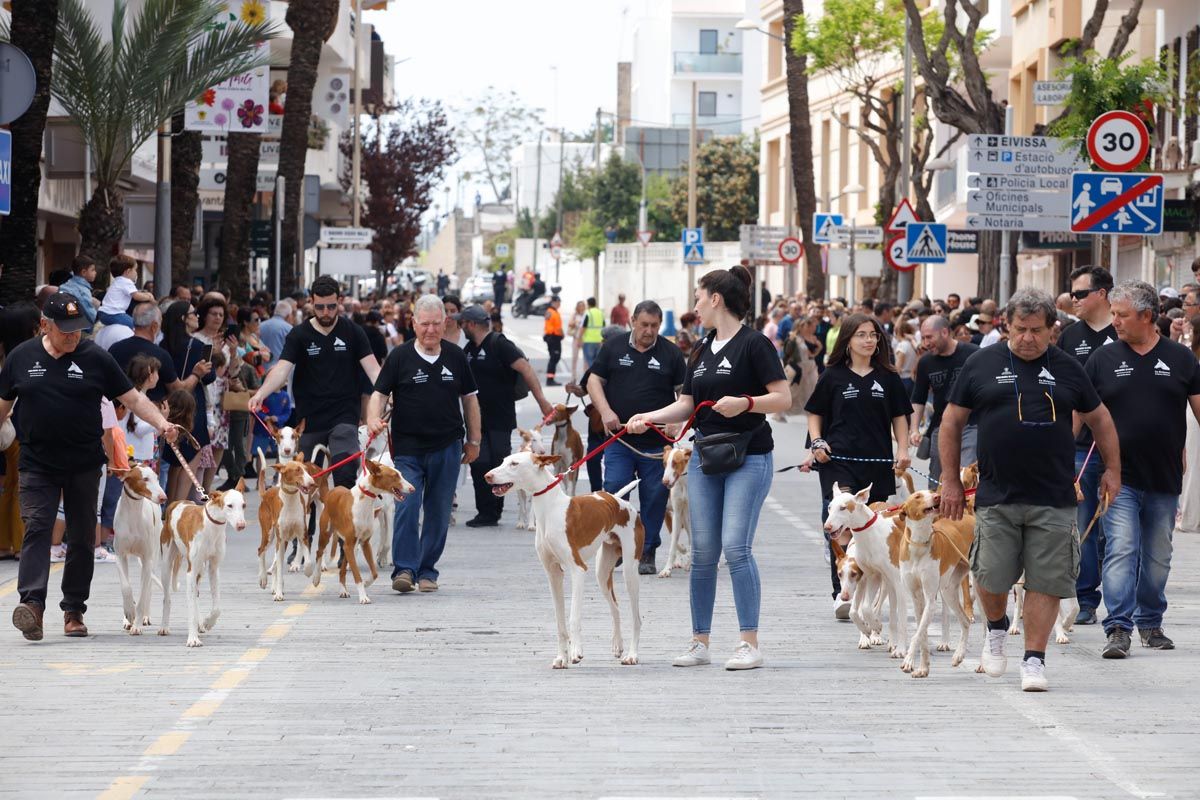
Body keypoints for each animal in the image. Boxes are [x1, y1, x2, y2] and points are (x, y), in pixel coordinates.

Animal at [110, 465, 168, 633]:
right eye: (145, 479)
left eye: (157, 478)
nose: (163, 497)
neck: (134, 514)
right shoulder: (120, 556)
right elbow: (126, 587)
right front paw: (129, 612)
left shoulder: (147, 559)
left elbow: (142, 595)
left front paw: (137, 625)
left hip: (154, 555)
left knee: (148, 589)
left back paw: (145, 617)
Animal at [159, 484, 248, 647]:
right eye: (229, 505)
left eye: (243, 505)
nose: (241, 525)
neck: (212, 528)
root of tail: (177, 502)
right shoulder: (190, 571)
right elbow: (191, 609)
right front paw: (193, 638)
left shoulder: (214, 568)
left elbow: (217, 608)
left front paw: (207, 622)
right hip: (166, 564)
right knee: (167, 598)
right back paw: (164, 626)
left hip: (200, 569)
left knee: (196, 596)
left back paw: (200, 623)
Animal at [309, 460, 412, 604]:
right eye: (395, 476)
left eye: (400, 474)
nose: (413, 489)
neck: (365, 501)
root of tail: (334, 489)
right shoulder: (351, 544)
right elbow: (357, 575)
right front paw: (363, 597)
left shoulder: (365, 543)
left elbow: (374, 573)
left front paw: (366, 583)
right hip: (326, 534)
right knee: (319, 552)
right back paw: (316, 578)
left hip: (350, 545)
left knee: (342, 570)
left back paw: (343, 590)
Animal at [482, 450, 643, 671]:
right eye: (503, 461)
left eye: (514, 464)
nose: (487, 476)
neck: (549, 510)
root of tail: (619, 501)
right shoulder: (553, 574)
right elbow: (559, 622)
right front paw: (561, 658)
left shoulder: (578, 570)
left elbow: (573, 617)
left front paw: (576, 652)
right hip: (602, 573)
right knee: (615, 607)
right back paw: (618, 645)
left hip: (629, 572)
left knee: (636, 618)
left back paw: (632, 655)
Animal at [657, 443, 696, 582]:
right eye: (664, 463)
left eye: (675, 463)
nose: (665, 482)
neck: (683, 483)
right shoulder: (676, 514)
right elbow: (674, 542)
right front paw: (667, 569)